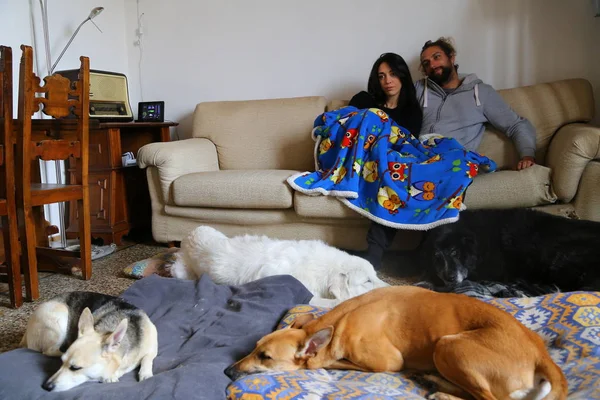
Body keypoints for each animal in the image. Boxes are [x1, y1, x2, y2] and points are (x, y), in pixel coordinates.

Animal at [21, 290, 157, 390]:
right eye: (62, 362)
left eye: (75, 368)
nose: (46, 386)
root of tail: (25, 335)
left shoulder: (153, 348)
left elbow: (147, 358)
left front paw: (145, 374)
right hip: (60, 316)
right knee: (48, 350)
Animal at [171, 225, 386, 306]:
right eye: (367, 281)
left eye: (376, 276)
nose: (391, 288)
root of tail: (189, 234)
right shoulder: (305, 294)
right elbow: (337, 302)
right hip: (180, 271)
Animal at [225, 286, 568, 400]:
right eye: (255, 346)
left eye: (266, 357)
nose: (227, 372)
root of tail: (542, 353)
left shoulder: (389, 362)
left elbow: (334, 362)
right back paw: (433, 381)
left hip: (448, 345)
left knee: (491, 399)